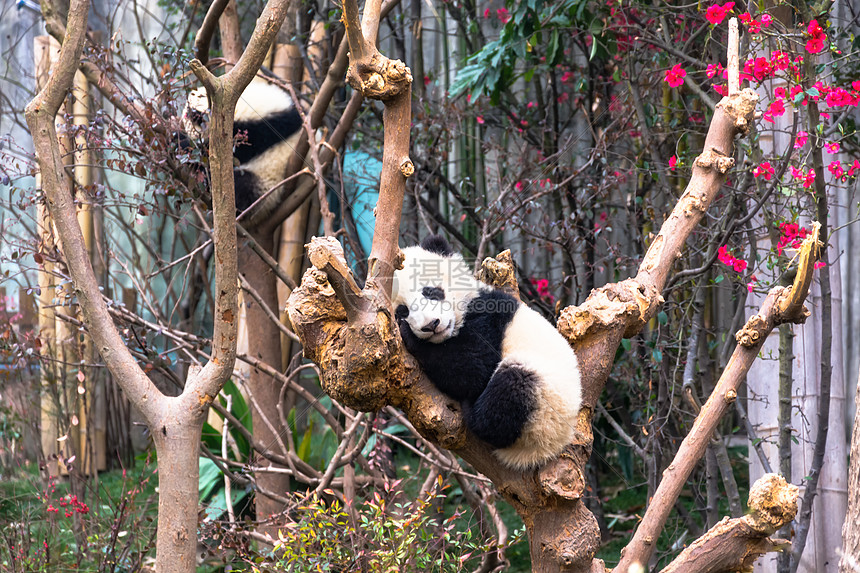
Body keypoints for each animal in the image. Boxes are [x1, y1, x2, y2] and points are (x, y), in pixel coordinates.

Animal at [392, 233, 580, 470]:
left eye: (431, 292)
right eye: (402, 311)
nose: (431, 325)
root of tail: (552, 447)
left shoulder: (488, 320)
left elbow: (473, 369)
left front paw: (410, 336)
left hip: (546, 404)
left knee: (512, 386)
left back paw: (472, 411)